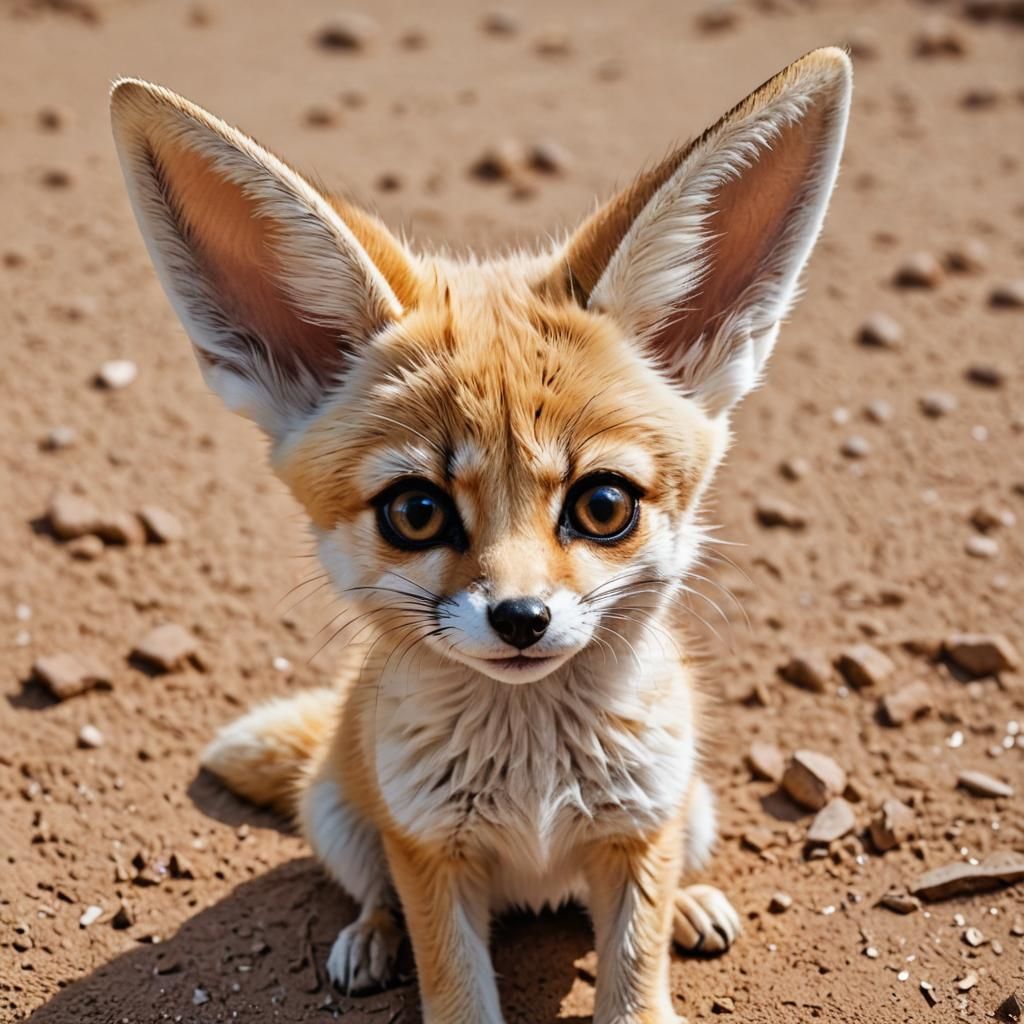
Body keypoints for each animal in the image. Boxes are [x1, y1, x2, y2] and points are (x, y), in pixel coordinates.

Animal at [110, 47, 851, 1024]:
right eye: (416, 511)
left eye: (603, 505)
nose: (521, 619)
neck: (533, 782)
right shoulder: (431, 853)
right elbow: (456, 990)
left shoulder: (636, 835)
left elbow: (635, 986)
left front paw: (664, 944)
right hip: (344, 820)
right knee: (372, 890)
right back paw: (368, 939)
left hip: (691, 810)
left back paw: (693, 905)